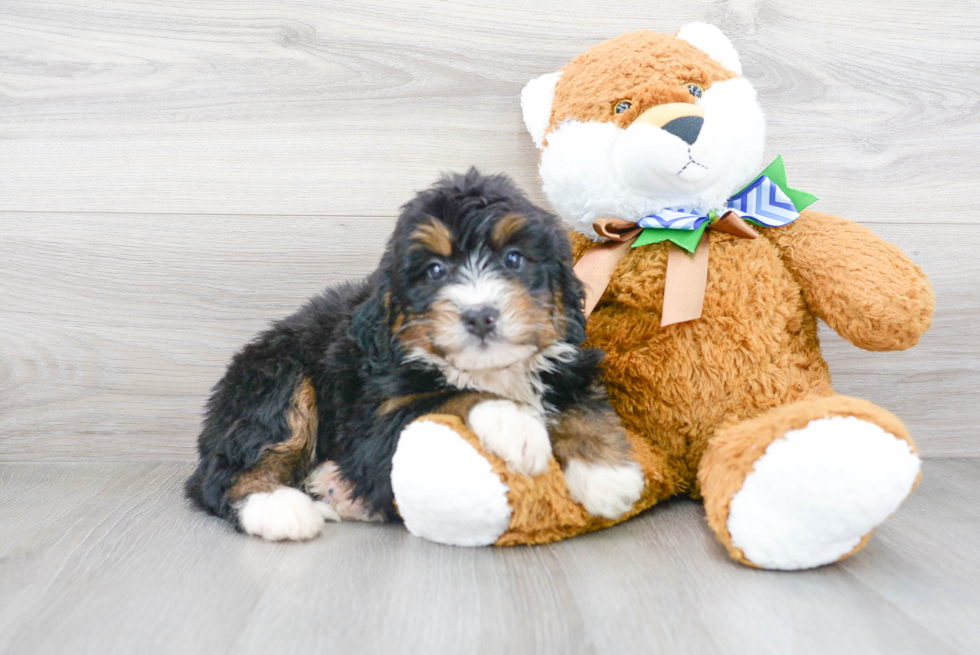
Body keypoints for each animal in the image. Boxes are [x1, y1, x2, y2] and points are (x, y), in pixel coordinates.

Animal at [185, 169, 648, 544]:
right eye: (434, 271)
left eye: (514, 259)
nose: (480, 316)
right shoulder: (373, 422)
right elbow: (452, 396)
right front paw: (517, 426)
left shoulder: (565, 361)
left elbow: (582, 402)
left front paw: (607, 475)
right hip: (279, 377)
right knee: (227, 472)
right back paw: (280, 508)